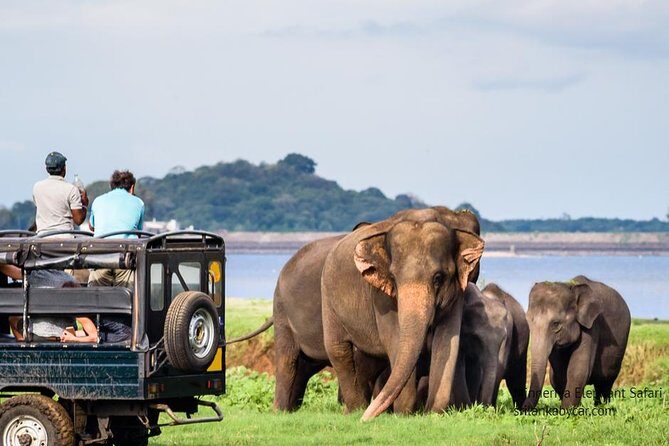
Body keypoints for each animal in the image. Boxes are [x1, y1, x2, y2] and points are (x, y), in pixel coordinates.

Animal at [272, 207, 481, 414]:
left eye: (438, 278)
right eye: (393, 278)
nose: (367, 417)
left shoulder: (457, 292)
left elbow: (448, 341)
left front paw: (433, 412)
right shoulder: (381, 296)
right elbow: (394, 339)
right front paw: (403, 414)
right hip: (312, 302)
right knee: (325, 351)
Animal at [523, 275, 631, 409]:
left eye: (556, 324)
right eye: (527, 321)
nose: (521, 409)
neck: (570, 286)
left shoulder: (592, 326)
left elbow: (578, 370)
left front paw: (567, 411)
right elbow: (558, 375)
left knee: (605, 382)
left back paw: (601, 406)